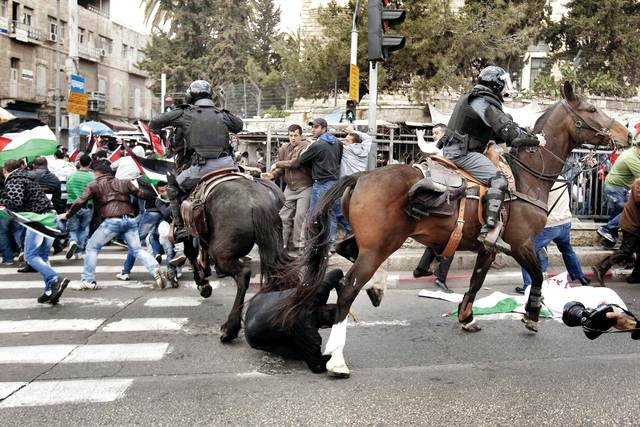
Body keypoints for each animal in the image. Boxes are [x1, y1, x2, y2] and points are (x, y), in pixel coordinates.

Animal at [276, 81, 632, 378]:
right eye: (591, 109)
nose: (627, 136)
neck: (527, 178)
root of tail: (359, 176)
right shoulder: (521, 243)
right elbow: (538, 274)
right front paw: (531, 313)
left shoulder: (489, 248)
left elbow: (476, 282)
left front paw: (466, 317)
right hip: (379, 246)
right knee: (348, 287)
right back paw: (337, 357)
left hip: (376, 243)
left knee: (344, 250)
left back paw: (377, 287)